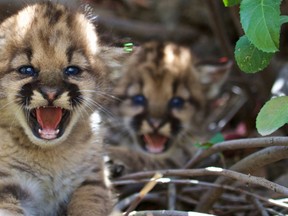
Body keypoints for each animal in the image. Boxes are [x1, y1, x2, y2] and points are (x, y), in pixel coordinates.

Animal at [0, 2, 117, 216]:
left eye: (72, 70)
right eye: (26, 69)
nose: (51, 93)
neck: (50, 156)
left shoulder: (91, 180)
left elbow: (90, 206)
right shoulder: (7, 184)